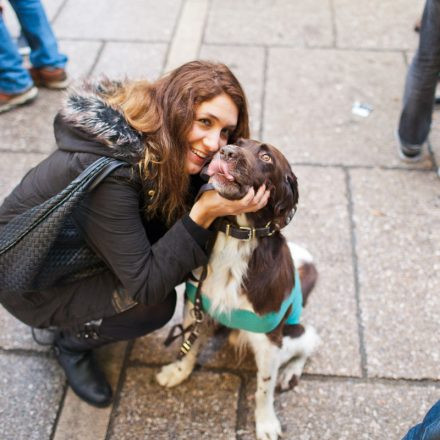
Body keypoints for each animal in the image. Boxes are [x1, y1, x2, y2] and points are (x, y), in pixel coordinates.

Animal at [157, 139, 320, 438]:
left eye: (266, 157)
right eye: (236, 143)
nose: (226, 151)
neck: (239, 237)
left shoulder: (269, 339)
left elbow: (264, 387)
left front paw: (266, 422)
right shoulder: (195, 304)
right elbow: (190, 345)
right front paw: (178, 372)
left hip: (291, 334)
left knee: (310, 340)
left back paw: (290, 372)